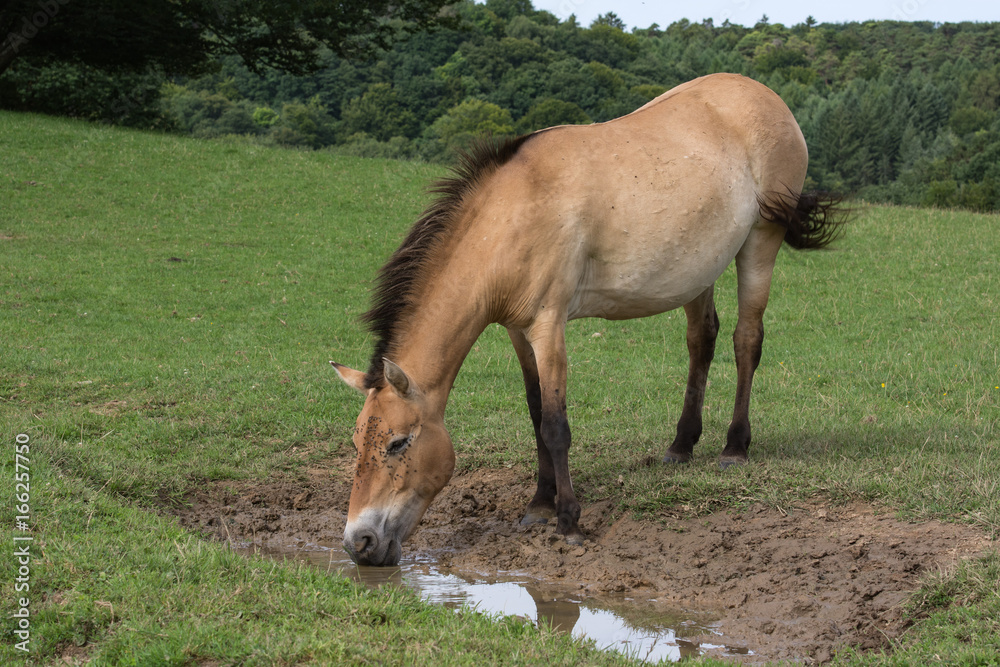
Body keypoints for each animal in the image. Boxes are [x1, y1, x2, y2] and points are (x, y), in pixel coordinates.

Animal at [332, 73, 844, 566]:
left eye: (398, 443)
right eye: (357, 443)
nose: (360, 543)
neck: (514, 214)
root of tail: (765, 96)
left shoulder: (549, 326)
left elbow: (556, 425)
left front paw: (569, 522)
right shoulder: (518, 332)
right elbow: (536, 412)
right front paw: (539, 506)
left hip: (760, 242)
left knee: (746, 340)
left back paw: (735, 448)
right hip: (698, 270)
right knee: (702, 340)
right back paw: (681, 446)